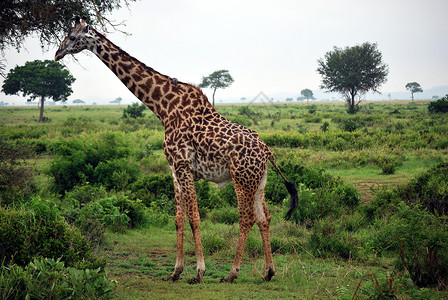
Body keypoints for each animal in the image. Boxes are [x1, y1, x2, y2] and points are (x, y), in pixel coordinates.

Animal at [55, 17, 298, 284]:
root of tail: (267, 152)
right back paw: (269, 271)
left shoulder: (183, 165)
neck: (163, 108)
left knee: (247, 218)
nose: (57, 53)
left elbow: (194, 217)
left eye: (72, 36)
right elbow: (179, 219)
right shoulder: (173, 168)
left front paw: (199, 272)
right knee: (265, 217)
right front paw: (176, 271)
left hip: (241, 178)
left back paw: (232, 273)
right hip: (259, 181)